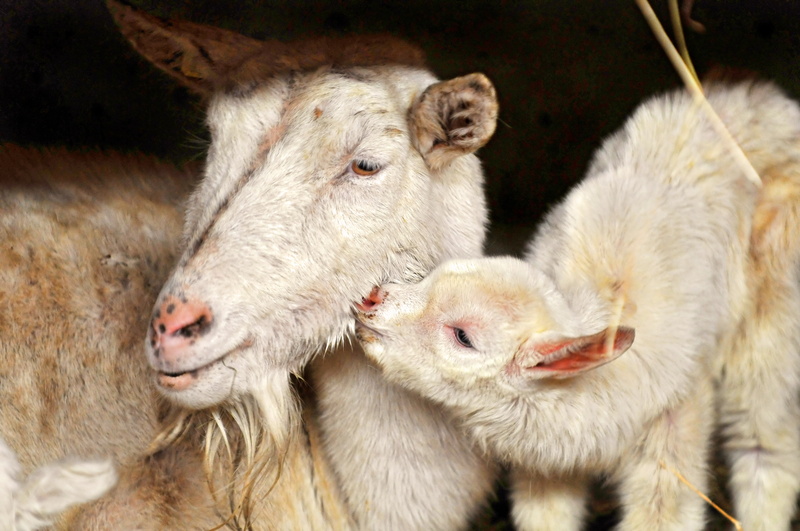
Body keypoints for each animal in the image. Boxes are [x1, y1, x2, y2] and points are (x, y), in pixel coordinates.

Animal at [354, 80, 800, 531]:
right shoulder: (545, 470)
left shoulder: (673, 433)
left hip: (776, 311)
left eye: (463, 336)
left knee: (764, 442)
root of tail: (766, 102)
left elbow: (664, 513)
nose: (371, 300)